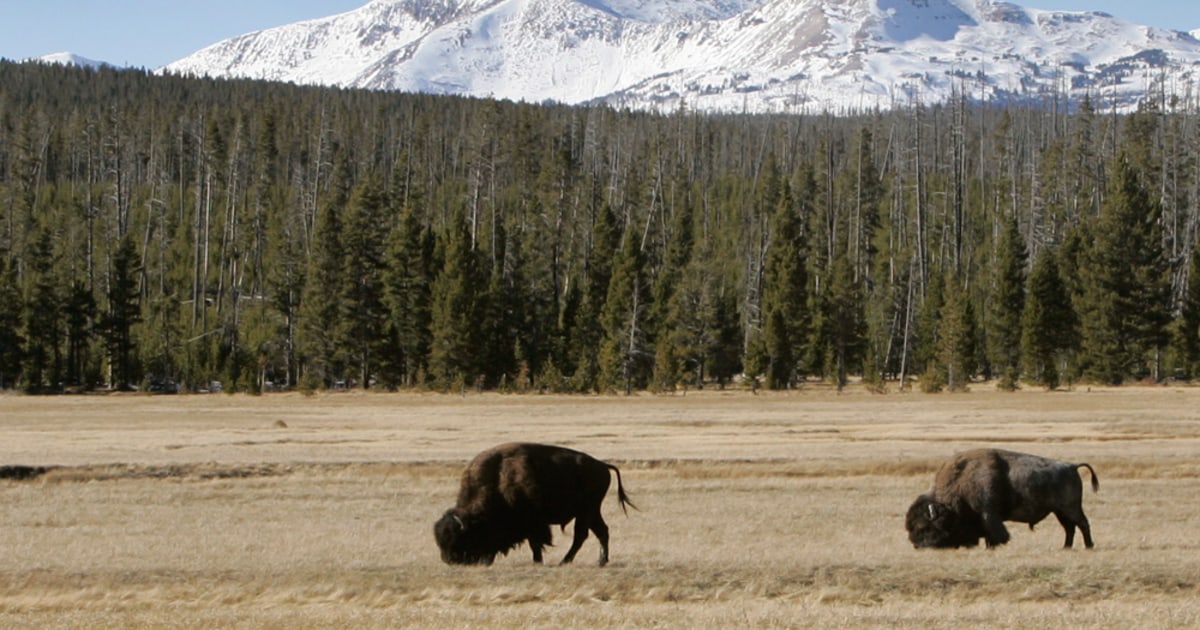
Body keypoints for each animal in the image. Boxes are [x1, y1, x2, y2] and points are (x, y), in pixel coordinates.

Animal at [434, 441, 638, 564]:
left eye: (460, 538)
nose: (449, 560)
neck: (498, 479)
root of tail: (603, 466)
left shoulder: (534, 524)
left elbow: (536, 543)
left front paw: (537, 561)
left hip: (587, 511)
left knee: (582, 535)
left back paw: (567, 561)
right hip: (591, 512)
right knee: (600, 532)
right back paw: (600, 561)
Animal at [902, 448, 1099, 547]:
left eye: (923, 527)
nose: (916, 544)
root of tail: (1072, 466)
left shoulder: (989, 513)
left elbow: (996, 532)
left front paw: (997, 544)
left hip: (1070, 508)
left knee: (1082, 524)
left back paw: (1089, 546)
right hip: (1059, 511)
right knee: (1070, 528)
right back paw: (1066, 547)